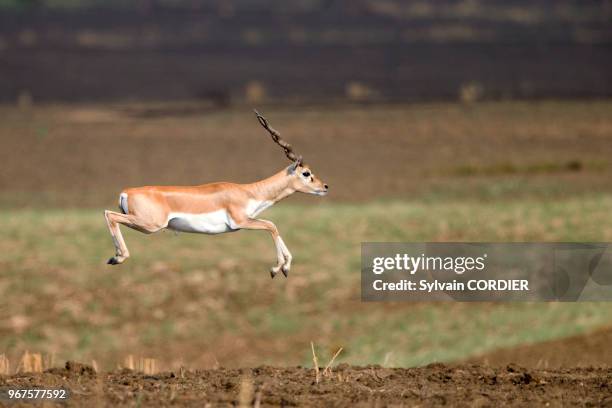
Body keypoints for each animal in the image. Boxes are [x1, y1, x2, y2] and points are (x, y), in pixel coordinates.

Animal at [103, 110, 328, 278]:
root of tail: (127, 192)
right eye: (306, 173)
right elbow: (271, 225)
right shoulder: (241, 221)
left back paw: (115, 257)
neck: (248, 191)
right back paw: (117, 257)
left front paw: (285, 267)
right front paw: (277, 268)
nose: (325, 186)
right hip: (150, 225)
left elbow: (274, 226)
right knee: (109, 214)